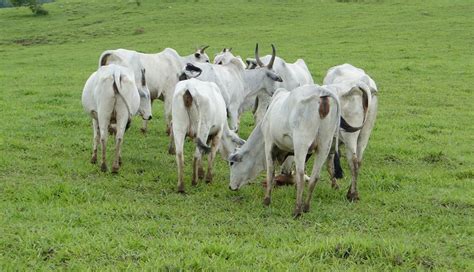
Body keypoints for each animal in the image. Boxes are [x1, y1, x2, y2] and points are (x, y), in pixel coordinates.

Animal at [229, 85, 340, 217]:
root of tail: (321, 92)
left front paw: (267, 200)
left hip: (301, 144)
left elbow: (270, 172)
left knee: (301, 175)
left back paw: (297, 210)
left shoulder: (269, 142)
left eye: (231, 163)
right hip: (325, 144)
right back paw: (306, 207)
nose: (230, 187)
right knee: (315, 177)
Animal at [322, 62, 378, 201]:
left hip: (350, 135)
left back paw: (352, 194)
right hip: (365, 132)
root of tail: (363, 83)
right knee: (358, 160)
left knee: (353, 161)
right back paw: (352, 192)